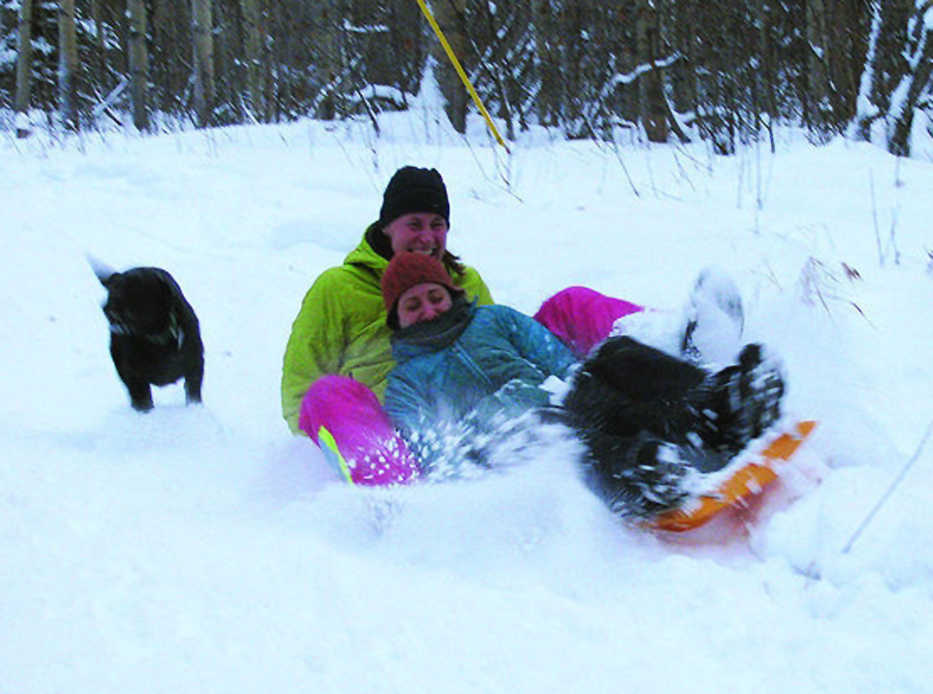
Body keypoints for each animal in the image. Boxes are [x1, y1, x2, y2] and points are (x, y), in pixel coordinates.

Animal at [91, 260, 204, 414]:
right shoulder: (134, 373)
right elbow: (142, 397)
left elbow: (193, 391)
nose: (106, 307)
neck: (158, 335)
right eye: (112, 291)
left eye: (135, 292)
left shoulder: (195, 364)